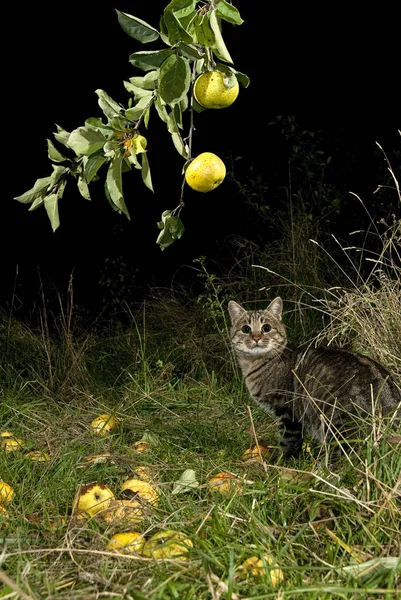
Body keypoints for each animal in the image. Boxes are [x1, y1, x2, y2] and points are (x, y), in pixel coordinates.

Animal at [228, 298, 400, 458]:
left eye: (266, 328)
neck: (255, 363)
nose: (256, 337)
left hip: (337, 423)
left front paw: (282, 461)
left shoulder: (288, 411)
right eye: (246, 329)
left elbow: (288, 442)